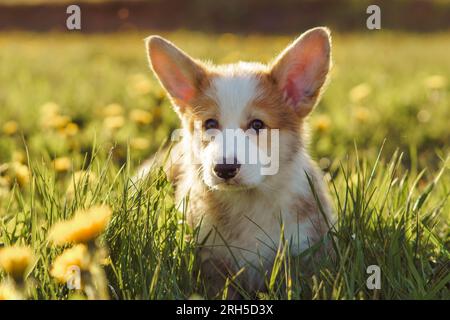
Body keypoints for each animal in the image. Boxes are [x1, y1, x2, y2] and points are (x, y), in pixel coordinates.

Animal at [139, 27, 336, 298]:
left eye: (257, 124)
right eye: (210, 124)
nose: (224, 169)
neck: (249, 203)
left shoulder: (305, 251)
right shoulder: (212, 263)